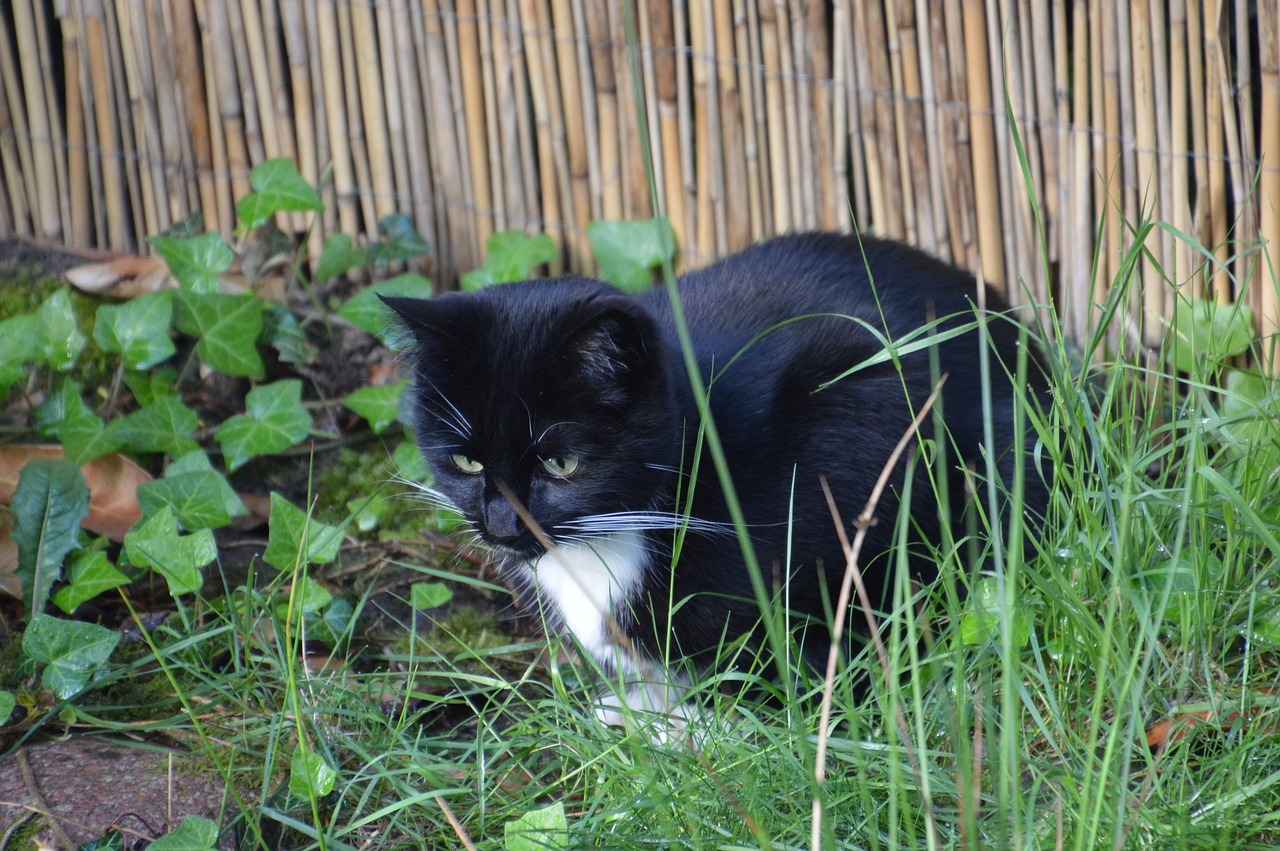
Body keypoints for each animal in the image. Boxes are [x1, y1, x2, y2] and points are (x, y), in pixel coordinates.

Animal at [381, 230, 1049, 701]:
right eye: (466, 460)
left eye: (561, 463)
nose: (499, 524)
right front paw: (647, 713)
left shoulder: (867, 403)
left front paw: (706, 733)